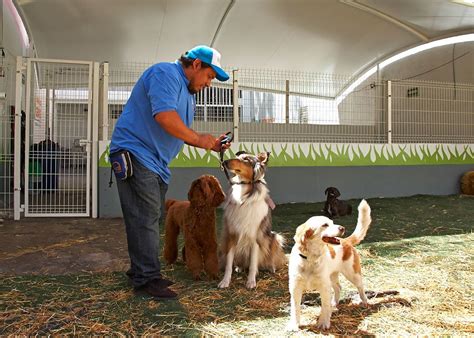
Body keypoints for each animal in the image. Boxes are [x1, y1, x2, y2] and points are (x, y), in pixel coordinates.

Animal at [218, 152, 286, 290]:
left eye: (246, 160)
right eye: (237, 157)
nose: (224, 162)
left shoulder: (256, 237)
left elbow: (253, 263)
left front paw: (251, 282)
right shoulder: (231, 235)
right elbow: (228, 264)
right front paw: (225, 281)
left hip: (274, 237)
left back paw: (271, 267)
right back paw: (239, 267)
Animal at [286, 201, 372, 330]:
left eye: (332, 222)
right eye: (325, 224)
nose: (342, 228)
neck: (311, 259)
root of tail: (346, 241)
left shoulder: (324, 287)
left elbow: (325, 307)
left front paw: (324, 322)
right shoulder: (295, 287)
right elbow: (295, 308)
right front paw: (294, 325)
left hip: (353, 274)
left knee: (361, 287)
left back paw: (365, 302)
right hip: (332, 277)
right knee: (338, 288)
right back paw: (334, 304)